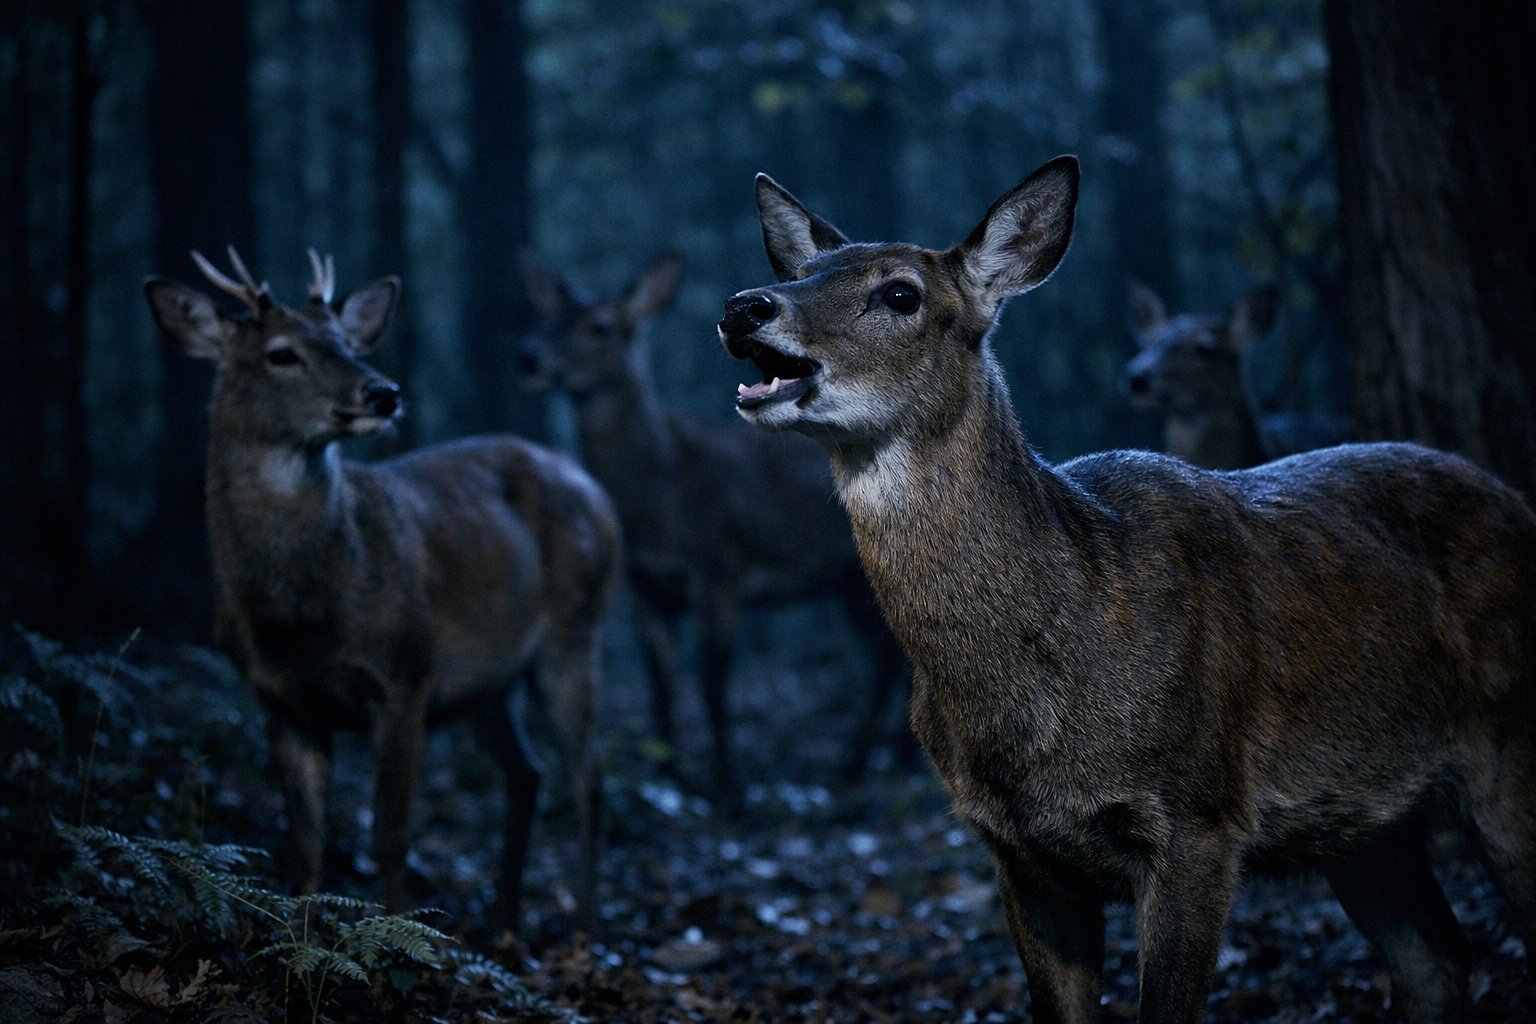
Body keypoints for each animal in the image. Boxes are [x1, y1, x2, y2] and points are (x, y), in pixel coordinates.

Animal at [144, 248, 620, 932]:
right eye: (281, 353)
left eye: (347, 342)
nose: (383, 391)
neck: (302, 615)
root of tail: (598, 493)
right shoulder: (281, 701)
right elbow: (305, 844)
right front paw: (303, 940)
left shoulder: (404, 674)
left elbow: (390, 839)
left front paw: (399, 941)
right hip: (486, 682)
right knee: (527, 773)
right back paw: (505, 921)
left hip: (575, 629)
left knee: (588, 775)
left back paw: (583, 925)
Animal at [519, 253, 908, 792]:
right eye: (550, 319)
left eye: (602, 327)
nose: (530, 357)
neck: (662, 494)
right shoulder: (646, 588)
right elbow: (662, 685)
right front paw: (669, 774)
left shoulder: (719, 567)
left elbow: (712, 684)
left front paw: (726, 784)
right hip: (846, 582)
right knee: (888, 657)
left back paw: (861, 763)